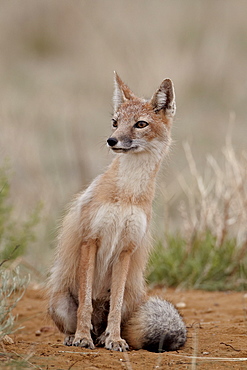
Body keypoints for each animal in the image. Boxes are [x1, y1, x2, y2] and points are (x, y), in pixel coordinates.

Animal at [47, 72, 186, 352]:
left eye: (140, 124)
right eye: (115, 123)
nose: (112, 141)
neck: (127, 194)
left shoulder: (126, 249)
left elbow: (115, 306)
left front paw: (115, 339)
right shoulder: (90, 240)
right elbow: (85, 304)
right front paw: (82, 337)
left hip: (132, 298)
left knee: (114, 315)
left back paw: (103, 337)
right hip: (59, 301)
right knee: (75, 322)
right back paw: (76, 336)